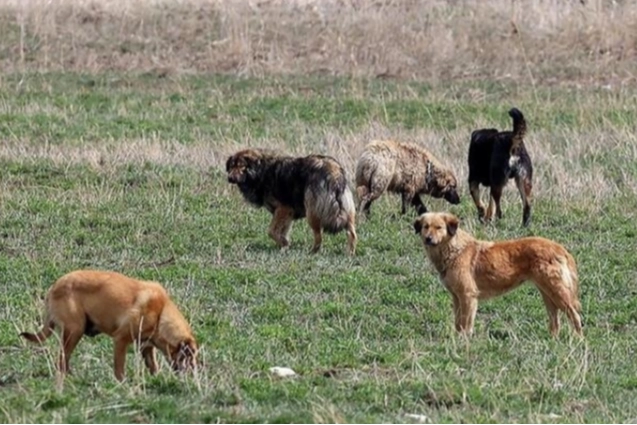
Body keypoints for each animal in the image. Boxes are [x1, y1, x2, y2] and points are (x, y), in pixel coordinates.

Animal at [19, 270, 198, 382]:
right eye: (190, 357)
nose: (195, 373)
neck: (161, 313)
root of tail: (53, 288)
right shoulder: (121, 340)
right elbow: (119, 368)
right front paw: (122, 384)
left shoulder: (146, 346)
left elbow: (153, 366)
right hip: (75, 330)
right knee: (62, 359)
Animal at [225, 148, 356, 255]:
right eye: (231, 166)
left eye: (241, 166)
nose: (230, 178)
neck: (260, 170)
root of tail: (334, 171)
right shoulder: (287, 214)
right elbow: (281, 231)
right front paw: (283, 247)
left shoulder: (283, 208)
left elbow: (271, 231)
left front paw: (285, 243)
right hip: (346, 212)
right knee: (352, 233)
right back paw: (350, 253)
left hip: (312, 213)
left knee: (319, 236)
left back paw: (313, 252)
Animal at [412, 212, 580, 338]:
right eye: (426, 227)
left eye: (439, 227)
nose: (428, 239)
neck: (454, 249)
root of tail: (560, 248)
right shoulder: (456, 297)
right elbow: (458, 322)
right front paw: (457, 338)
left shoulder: (468, 296)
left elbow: (466, 323)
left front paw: (464, 341)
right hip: (548, 294)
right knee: (555, 321)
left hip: (557, 293)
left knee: (575, 315)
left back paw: (578, 340)